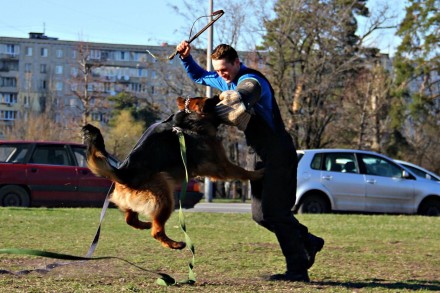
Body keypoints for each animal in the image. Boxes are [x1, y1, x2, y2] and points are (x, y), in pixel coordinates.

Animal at [81, 96, 262, 249]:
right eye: (215, 100)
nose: (222, 95)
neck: (189, 121)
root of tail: (122, 172)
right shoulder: (221, 165)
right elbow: (241, 171)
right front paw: (259, 173)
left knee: (130, 219)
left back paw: (146, 224)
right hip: (165, 195)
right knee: (156, 231)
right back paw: (175, 244)